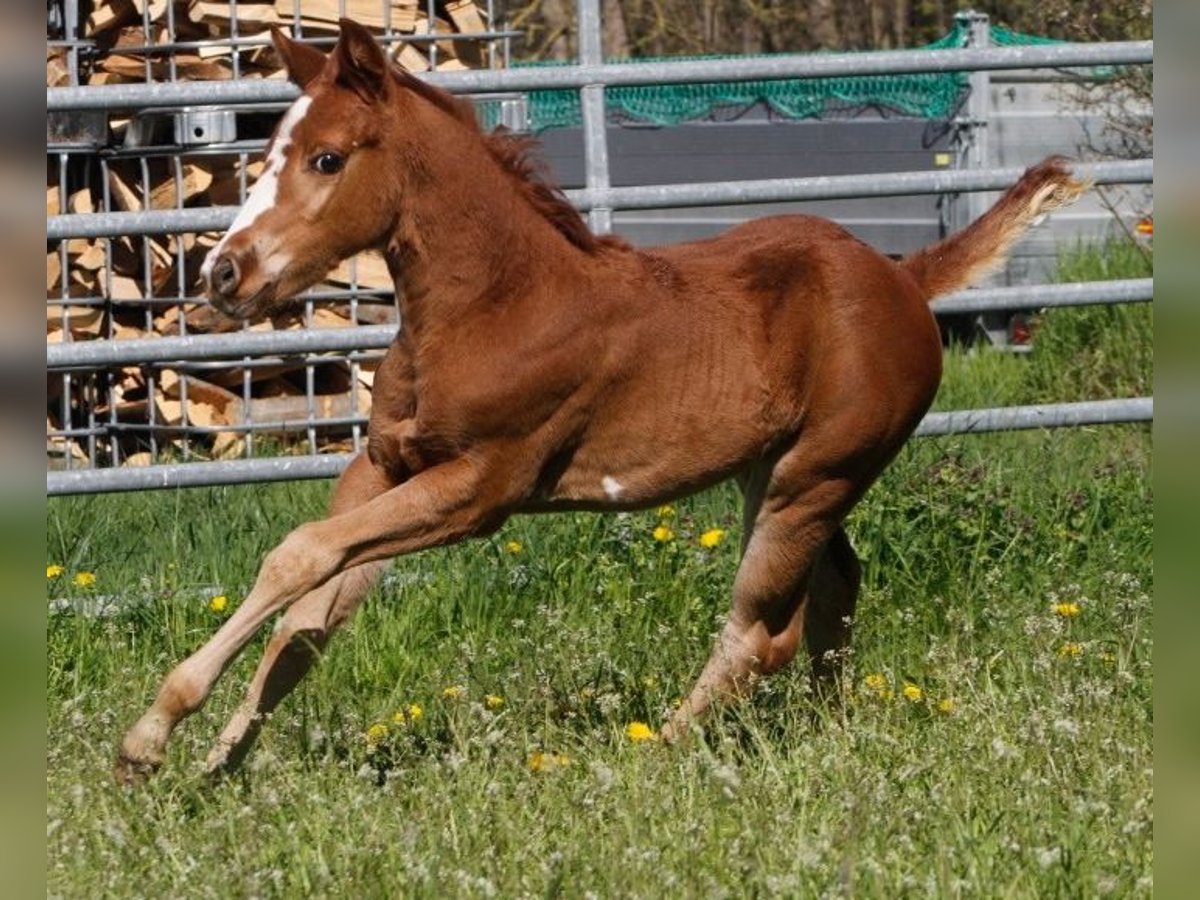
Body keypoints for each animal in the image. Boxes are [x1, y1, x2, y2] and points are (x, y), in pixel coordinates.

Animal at [116, 18, 1084, 781]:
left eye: (326, 158)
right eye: (266, 155)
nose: (224, 274)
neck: (494, 304)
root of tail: (904, 281)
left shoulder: (479, 491)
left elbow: (298, 557)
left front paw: (150, 737)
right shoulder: (384, 467)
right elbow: (309, 618)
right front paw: (214, 763)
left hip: (812, 478)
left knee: (762, 630)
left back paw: (655, 753)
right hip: (778, 471)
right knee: (835, 592)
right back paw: (829, 728)